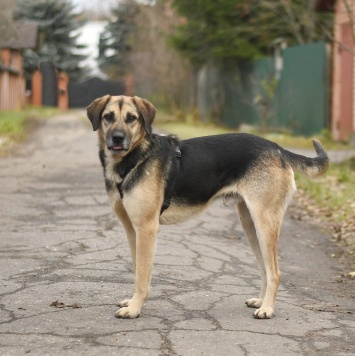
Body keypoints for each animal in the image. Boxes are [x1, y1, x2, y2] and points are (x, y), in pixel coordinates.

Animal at [87, 94, 330, 320]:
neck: (134, 158)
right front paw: (133, 303)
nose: (117, 139)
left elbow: (142, 276)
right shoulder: (132, 229)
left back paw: (267, 309)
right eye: (108, 117)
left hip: (265, 223)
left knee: (275, 272)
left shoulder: (146, 228)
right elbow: (138, 268)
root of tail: (278, 149)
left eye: (131, 118)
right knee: (264, 268)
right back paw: (261, 301)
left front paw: (134, 309)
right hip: (251, 226)